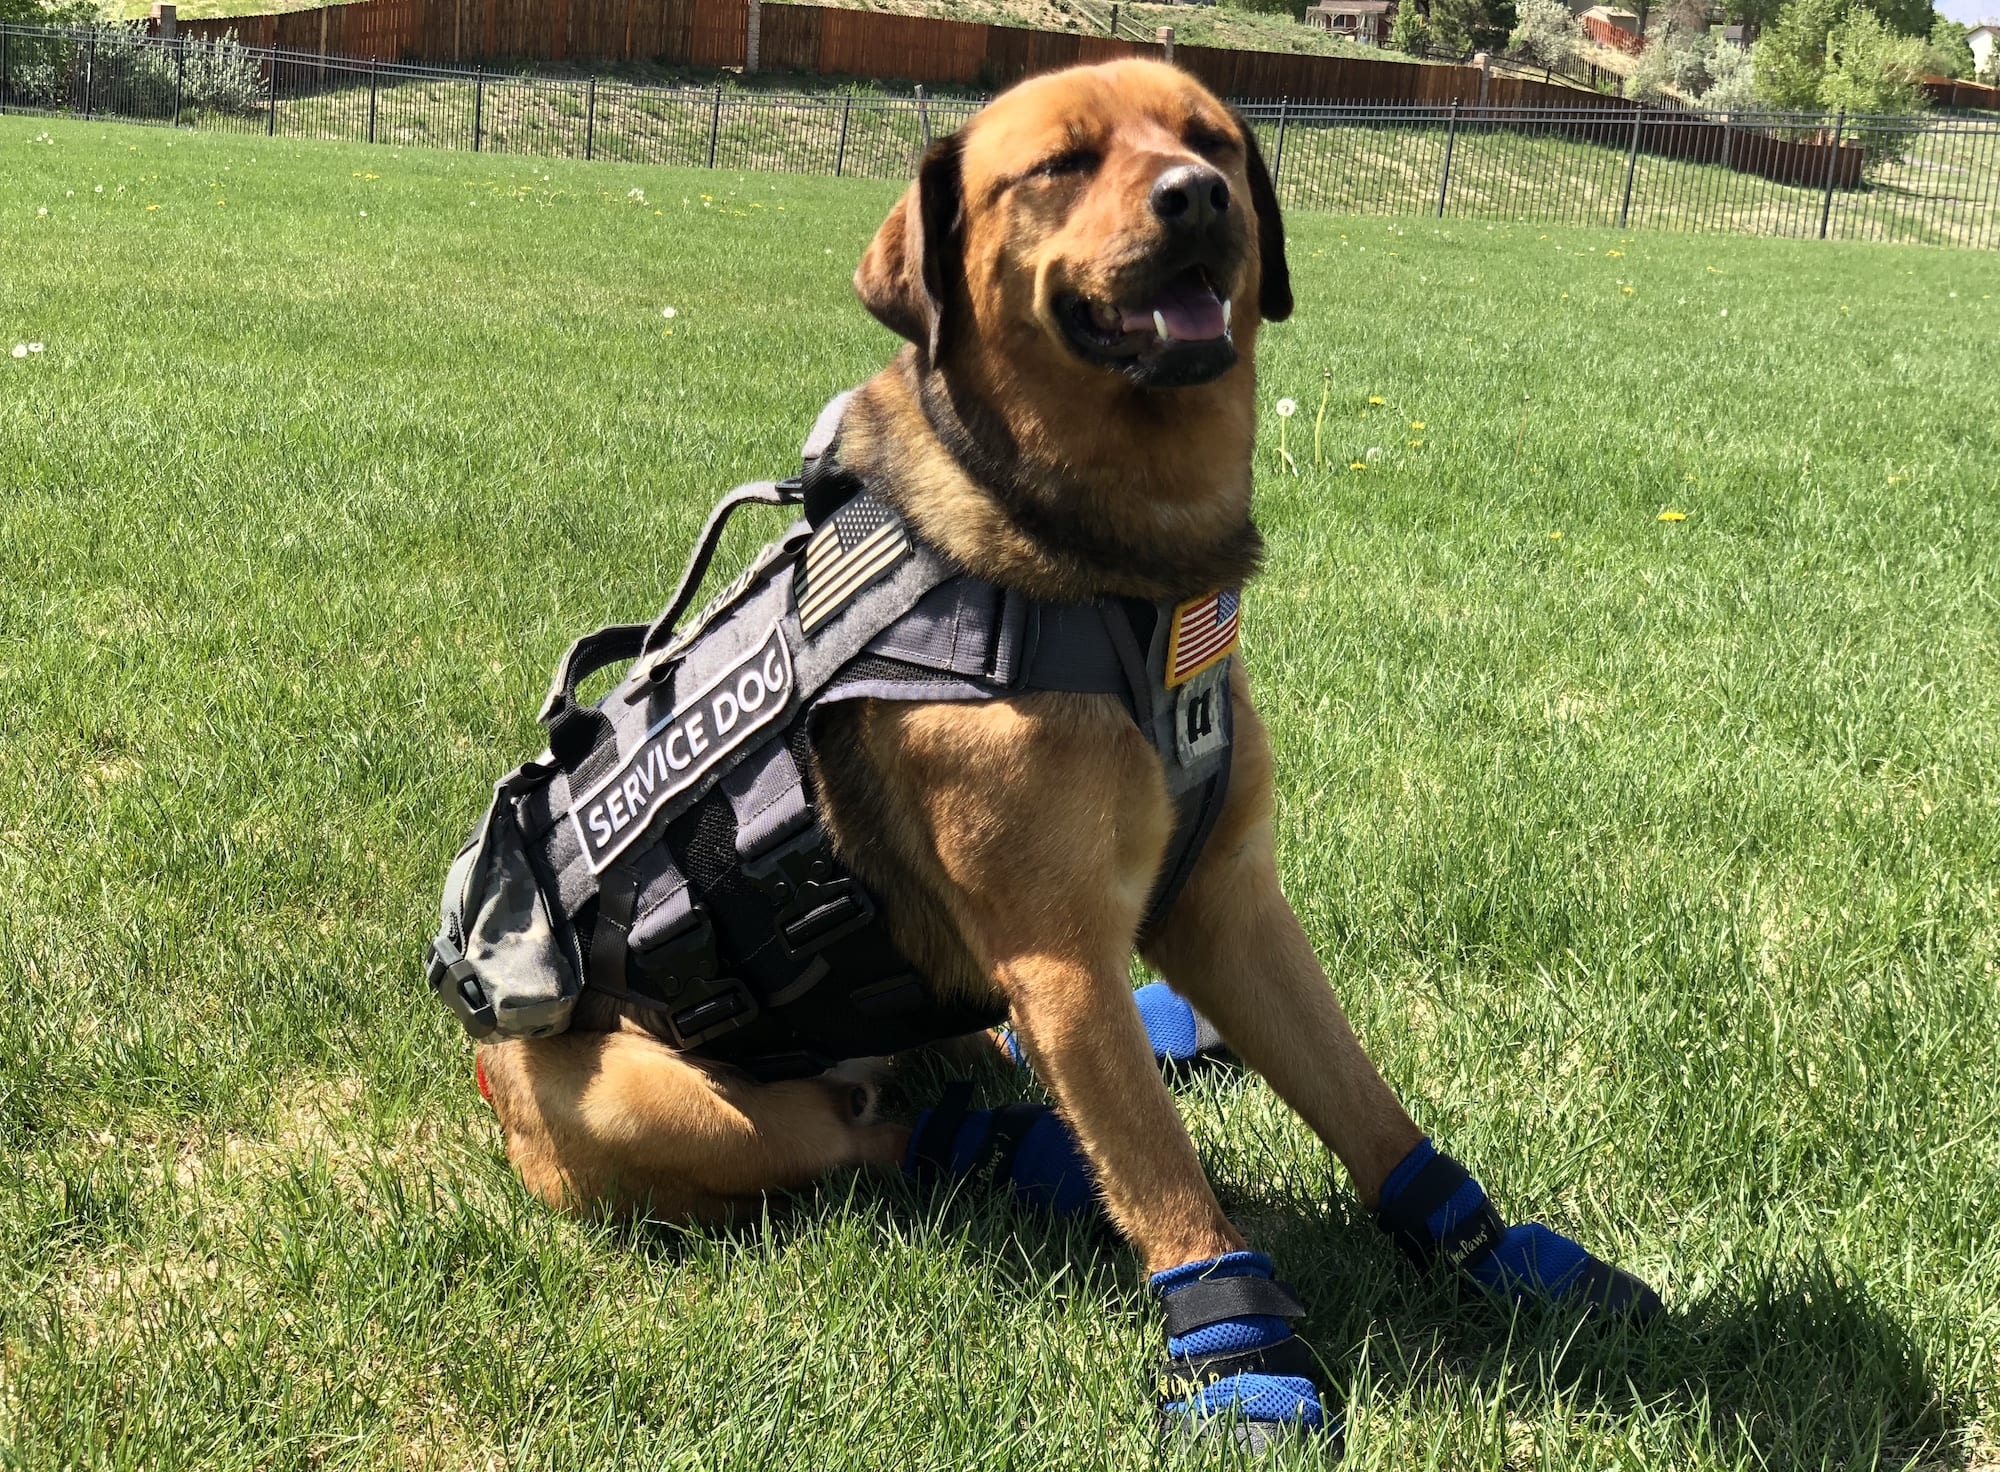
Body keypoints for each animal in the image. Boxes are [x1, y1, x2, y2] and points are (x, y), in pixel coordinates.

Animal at [478, 57, 1432, 1288]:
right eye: (1061, 162)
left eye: (1212, 140)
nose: (1195, 197)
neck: (1121, 577)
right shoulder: (1062, 956)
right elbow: (1169, 1187)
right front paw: (1234, 1328)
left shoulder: (1230, 899)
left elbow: (1368, 1107)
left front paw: (1505, 1258)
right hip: (670, 1102)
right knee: (886, 1135)